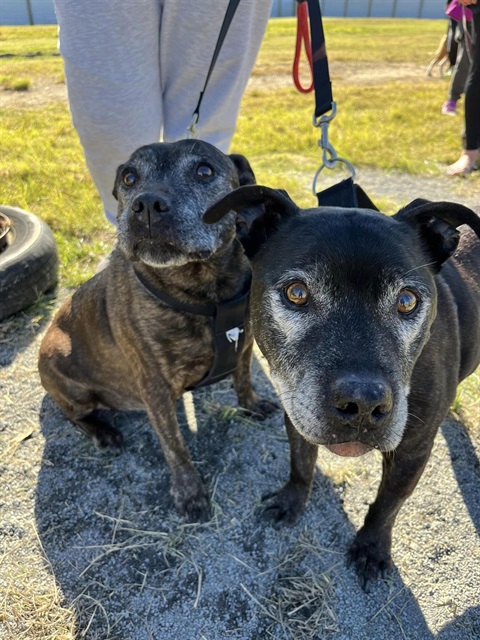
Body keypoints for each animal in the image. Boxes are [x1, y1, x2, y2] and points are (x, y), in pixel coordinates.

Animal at [204, 185, 480, 584]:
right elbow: (301, 464)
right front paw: (291, 501)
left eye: (407, 300)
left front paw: (371, 546)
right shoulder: (296, 415)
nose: (363, 404)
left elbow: (387, 504)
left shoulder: (412, 452)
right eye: (297, 293)